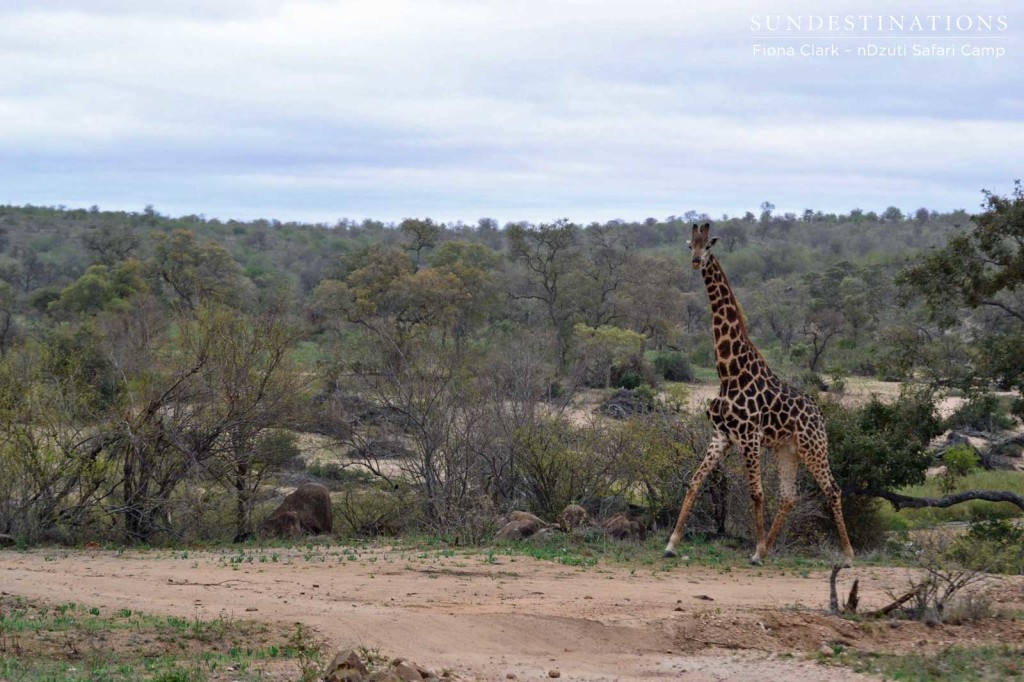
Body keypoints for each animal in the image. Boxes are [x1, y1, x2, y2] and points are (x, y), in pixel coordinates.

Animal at [663, 223, 856, 561]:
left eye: (708, 246)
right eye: (690, 245)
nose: (697, 261)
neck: (729, 372)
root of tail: (820, 414)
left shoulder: (748, 436)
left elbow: (756, 492)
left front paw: (755, 550)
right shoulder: (722, 434)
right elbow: (695, 482)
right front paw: (671, 544)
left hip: (813, 446)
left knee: (831, 488)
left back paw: (847, 554)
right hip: (787, 449)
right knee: (789, 496)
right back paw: (769, 549)